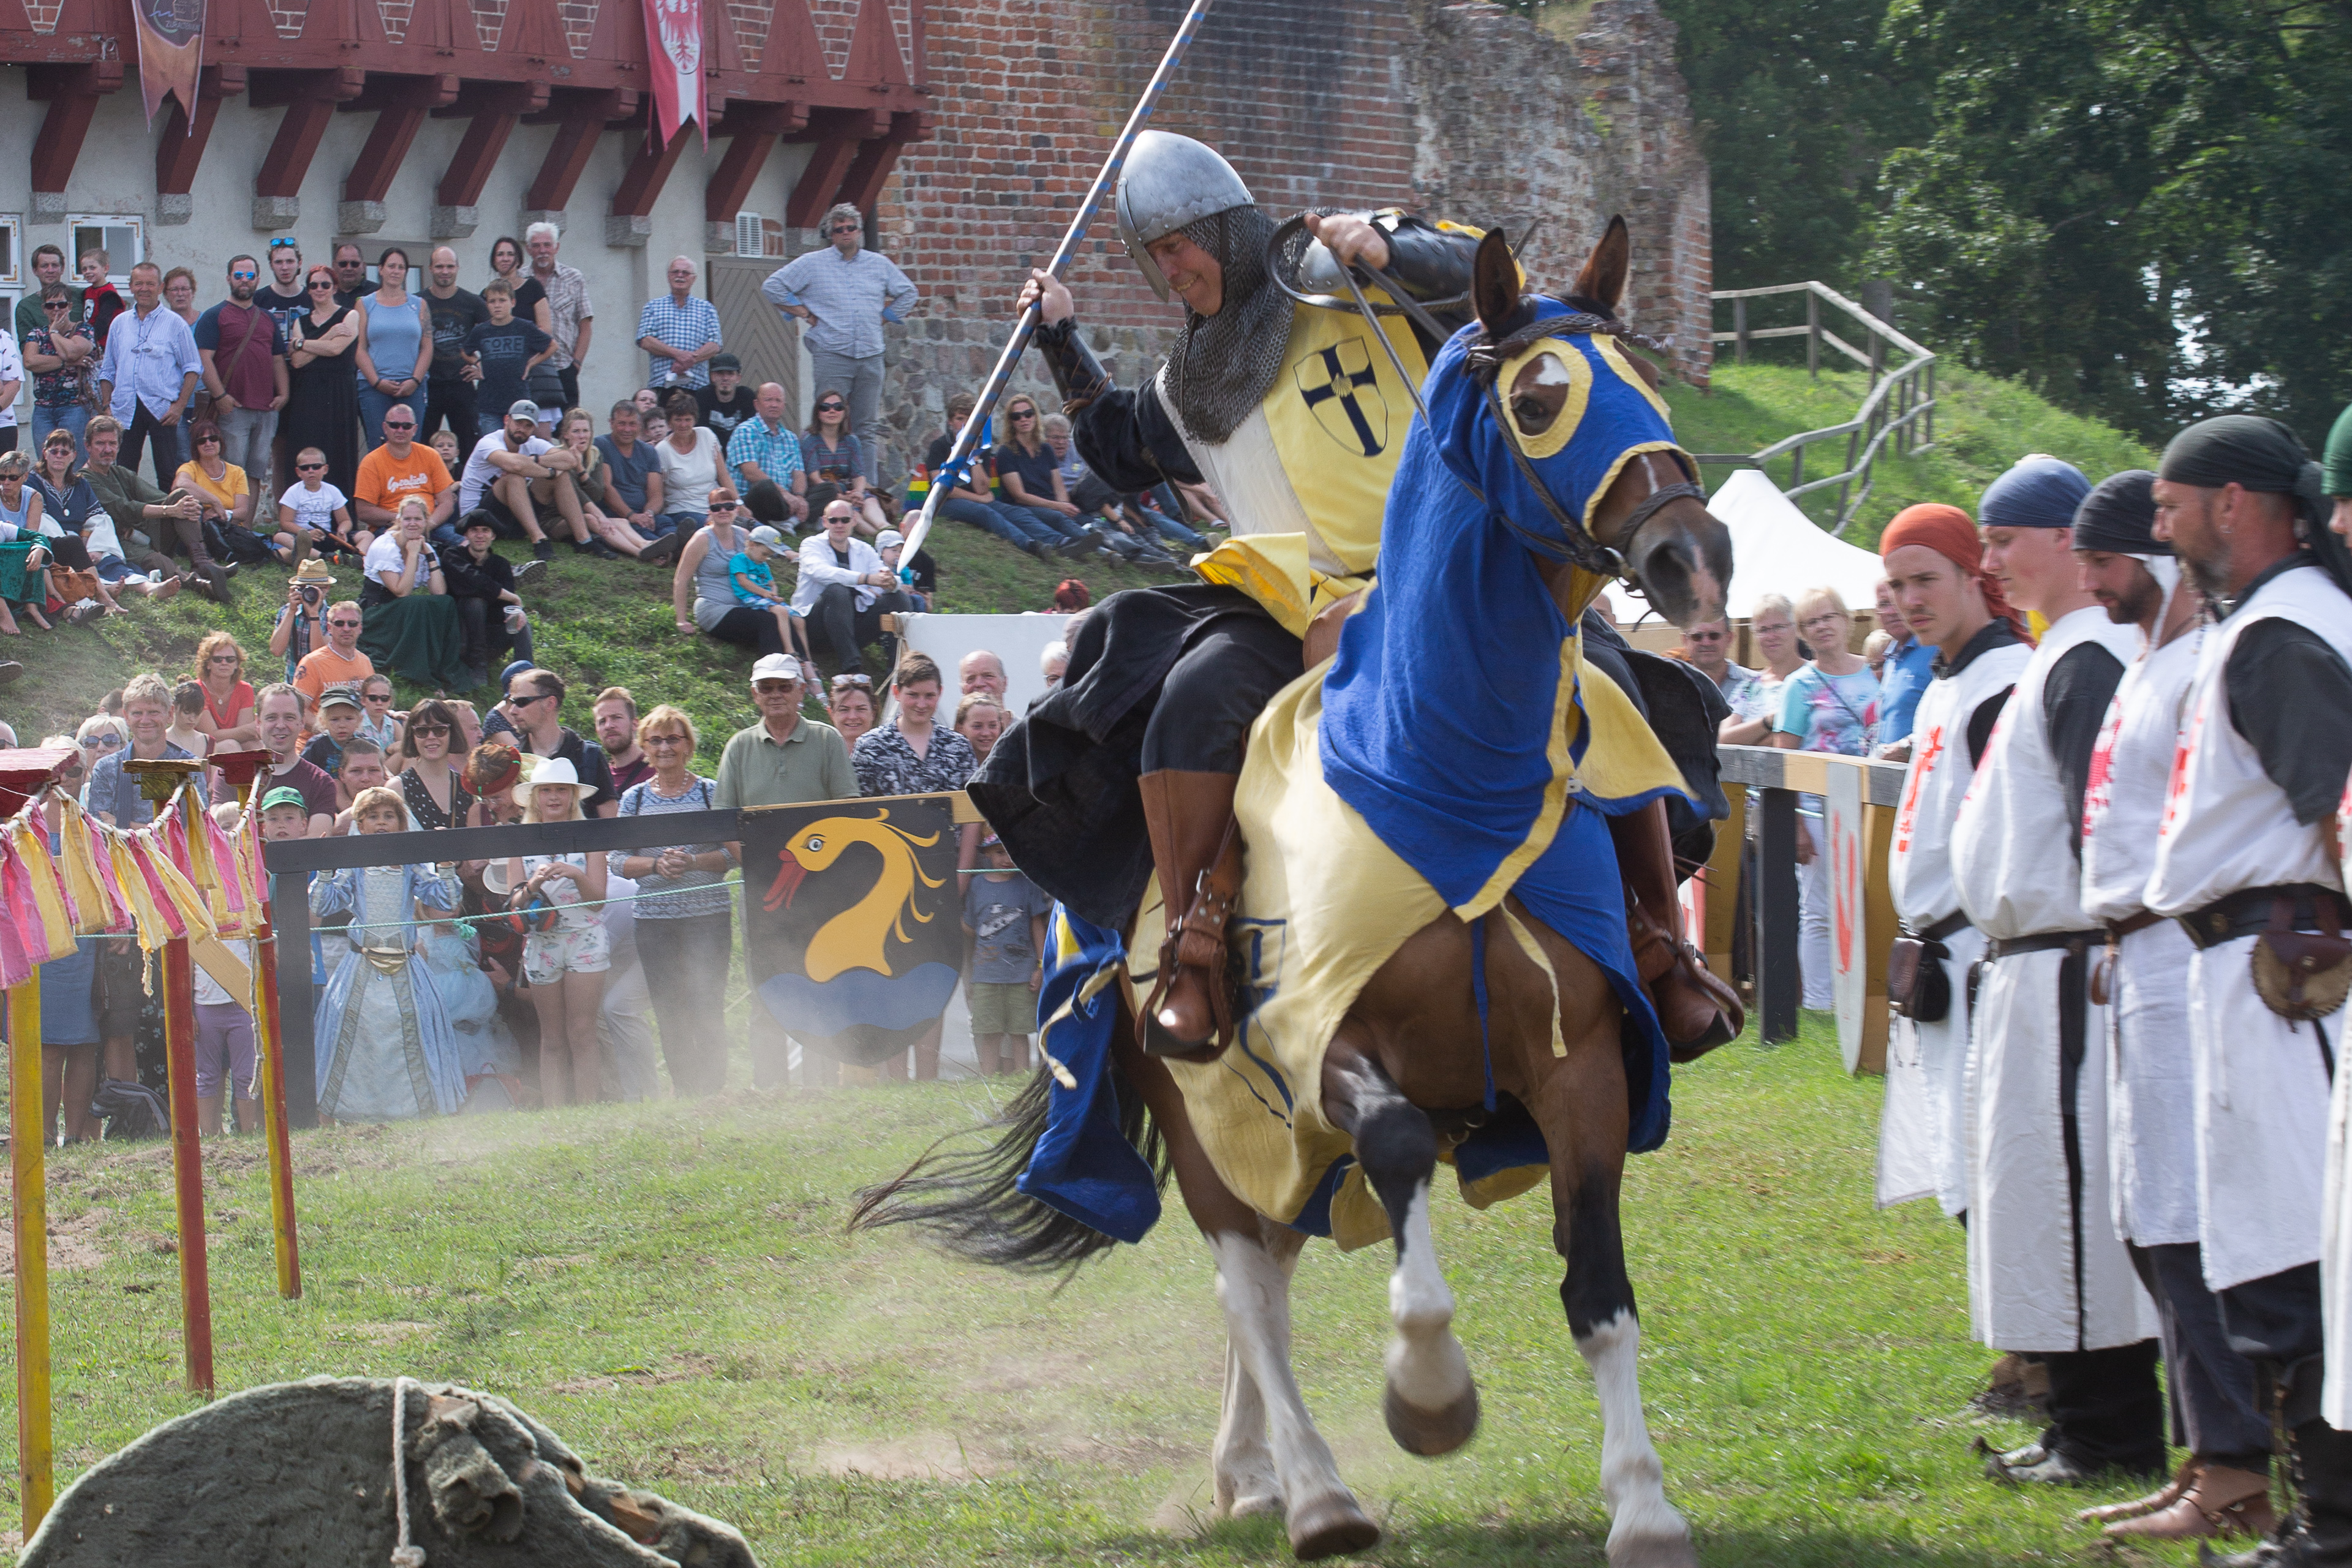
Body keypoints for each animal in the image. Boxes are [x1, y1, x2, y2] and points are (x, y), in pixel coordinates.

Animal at [854, 218, 1733, 1568]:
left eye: (1644, 381)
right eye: (1539, 399)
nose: (1693, 555)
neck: (1428, 766)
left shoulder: (1583, 1067)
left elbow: (1596, 1288)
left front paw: (1641, 1501)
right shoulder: (1317, 1044)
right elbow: (1401, 1150)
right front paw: (1429, 1394)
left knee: (1265, 1266)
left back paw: (1253, 1469)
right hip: (1199, 1090)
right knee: (1247, 1279)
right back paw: (1315, 1491)